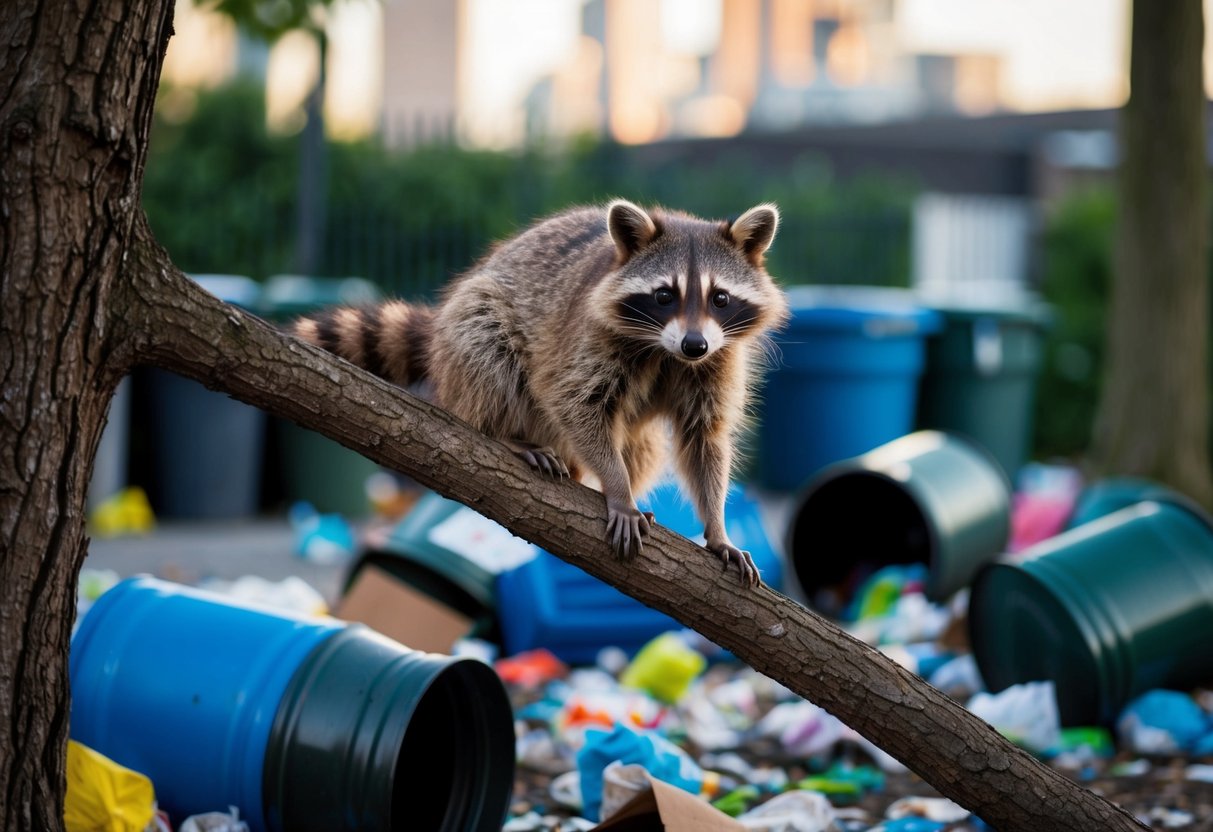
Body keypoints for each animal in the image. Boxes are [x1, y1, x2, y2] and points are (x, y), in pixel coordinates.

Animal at [294, 200, 789, 586]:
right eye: (664, 295)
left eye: (720, 298)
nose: (694, 345)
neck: (665, 351)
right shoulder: (586, 338)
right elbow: (575, 404)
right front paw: (617, 488)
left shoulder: (718, 360)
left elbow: (705, 437)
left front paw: (717, 526)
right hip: (469, 330)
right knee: (486, 342)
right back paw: (503, 433)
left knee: (645, 447)